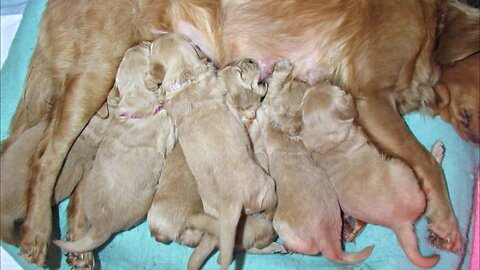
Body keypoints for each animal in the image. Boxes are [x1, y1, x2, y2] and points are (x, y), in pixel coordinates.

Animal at [53, 43, 176, 256]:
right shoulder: (166, 128)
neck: (136, 98)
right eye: (147, 52)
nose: (141, 42)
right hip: (144, 202)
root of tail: (100, 227)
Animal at [148, 34, 278, 270]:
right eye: (241, 71)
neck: (186, 79)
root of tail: (232, 203)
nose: (250, 59)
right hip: (267, 186)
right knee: (270, 210)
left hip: (211, 209)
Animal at [282, 83, 442, 268]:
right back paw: (437, 151)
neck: (329, 142)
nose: (317, 82)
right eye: (334, 88)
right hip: (404, 170)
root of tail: (399, 224)